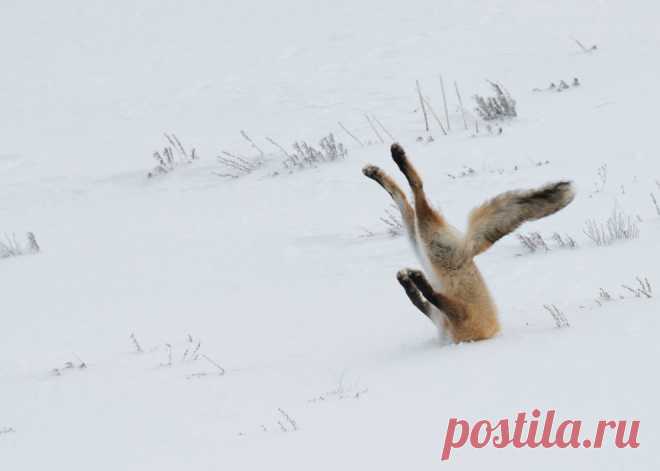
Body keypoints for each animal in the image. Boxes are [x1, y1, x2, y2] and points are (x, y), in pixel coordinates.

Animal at [364, 144, 576, 342]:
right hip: (422, 242)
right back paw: (378, 170)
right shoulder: (445, 315)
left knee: (416, 191)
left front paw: (414, 280)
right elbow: (419, 299)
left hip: (428, 242)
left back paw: (395, 160)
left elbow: (428, 297)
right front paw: (409, 281)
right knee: (404, 199)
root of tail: (468, 250)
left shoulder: (459, 315)